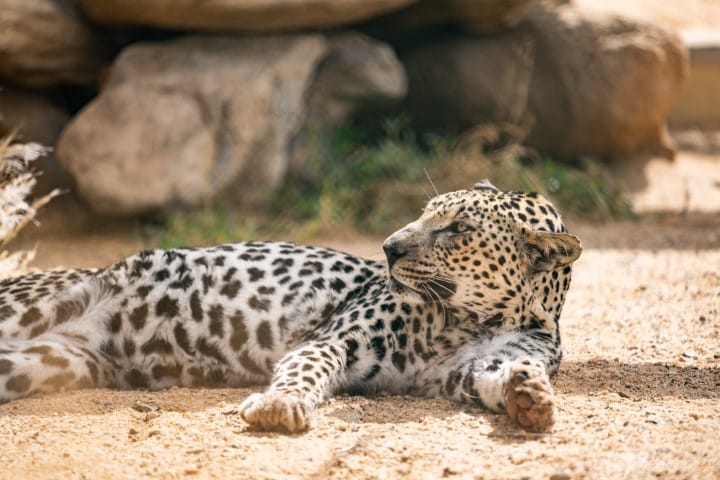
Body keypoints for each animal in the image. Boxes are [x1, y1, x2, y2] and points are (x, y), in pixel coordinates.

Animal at [0, 180, 581, 433]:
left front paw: (527, 395)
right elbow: (307, 367)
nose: (389, 247)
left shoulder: (459, 372)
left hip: (46, 364)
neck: (476, 319)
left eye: (458, 229)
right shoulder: (336, 338)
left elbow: (494, 375)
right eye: (425, 214)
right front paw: (281, 405)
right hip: (28, 309)